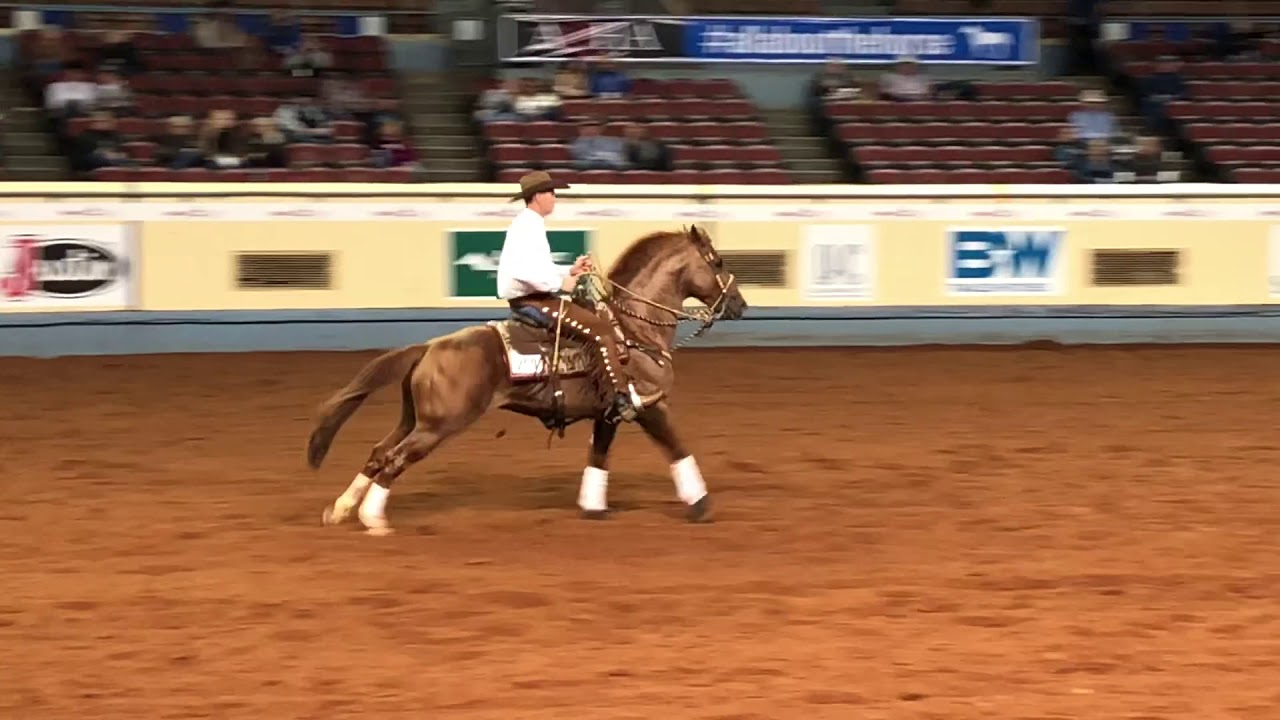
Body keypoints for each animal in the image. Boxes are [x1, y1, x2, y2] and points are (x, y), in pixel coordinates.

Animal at [307, 224, 747, 532]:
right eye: (717, 261)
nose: (740, 304)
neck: (630, 331)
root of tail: (429, 347)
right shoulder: (649, 405)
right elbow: (677, 448)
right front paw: (701, 505)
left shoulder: (609, 413)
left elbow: (598, 457)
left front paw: (593, 508)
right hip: (439, 424)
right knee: (396, 458)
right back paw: (373, 519)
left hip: (414, 417)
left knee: (380, 451)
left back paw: (341, 510)